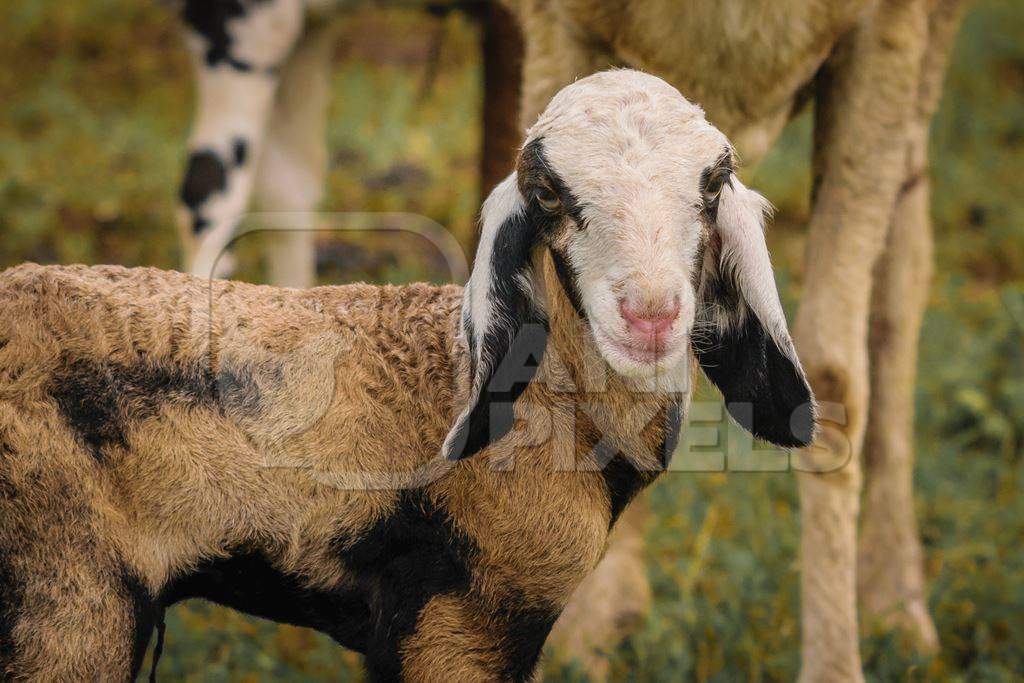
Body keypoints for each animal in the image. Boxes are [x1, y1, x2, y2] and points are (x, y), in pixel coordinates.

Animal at [2, 72, 815, 679]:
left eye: (712, 185)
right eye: (548, 193)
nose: (650, 314)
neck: (554, 407)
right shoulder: (459, 620)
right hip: (67, 597)